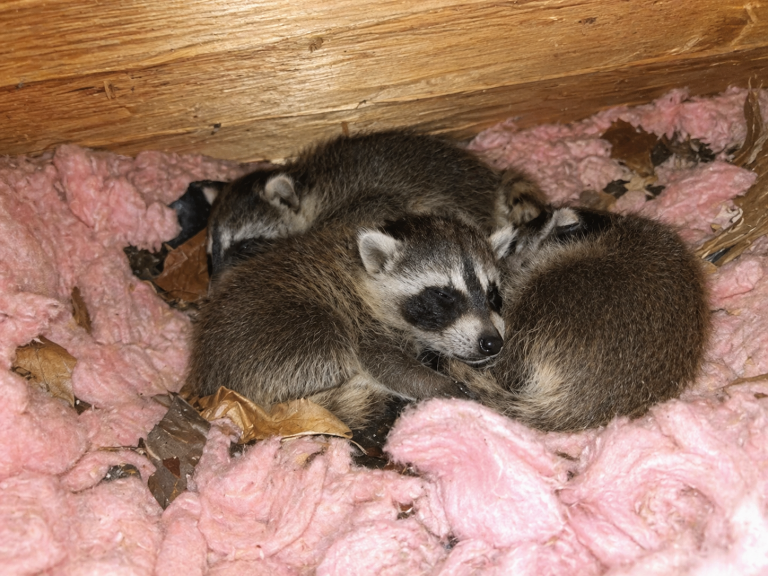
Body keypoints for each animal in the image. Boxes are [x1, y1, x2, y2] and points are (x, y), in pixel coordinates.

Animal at [188, 214, 515, 429]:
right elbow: (388, 364)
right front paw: (442, 386)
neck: (363, 274)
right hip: (291, 337)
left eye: (492, 294)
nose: (492, 343)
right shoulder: (362, 324)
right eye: (443, 295)